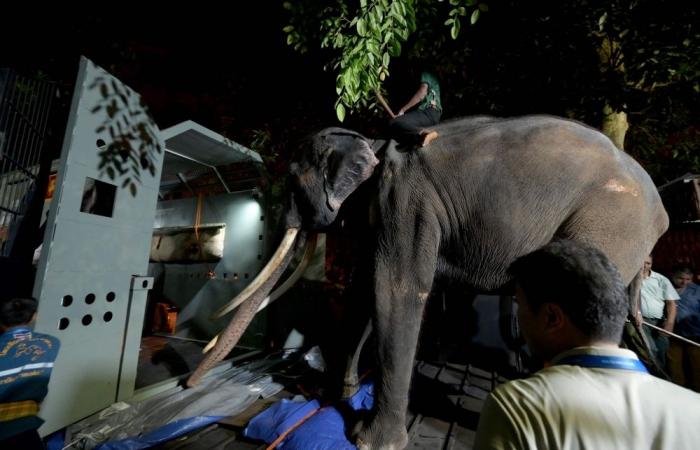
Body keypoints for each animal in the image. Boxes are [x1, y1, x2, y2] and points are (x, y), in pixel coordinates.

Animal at [187, 115, 668, 450]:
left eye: (290, 179)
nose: (189, 384)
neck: (372, 143)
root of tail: (659, 212)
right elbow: (363, 290)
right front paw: (338, 393)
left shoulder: (406, 203)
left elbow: (394, 290)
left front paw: (369, 440)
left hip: (609, 223)